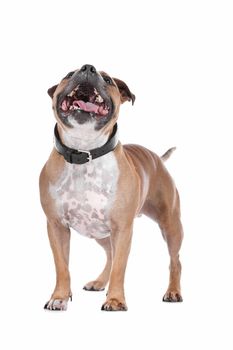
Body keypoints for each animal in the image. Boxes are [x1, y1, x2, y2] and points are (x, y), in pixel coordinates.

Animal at [39, 64, 183, 310]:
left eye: (108, 80)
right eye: (69, 74)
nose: (88, 67)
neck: (84, 151)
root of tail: (158, 158)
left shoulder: (122, 229)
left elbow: (119, 268)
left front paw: (115, 300)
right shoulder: (56, 227)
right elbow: (62, 267)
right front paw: (59, 297)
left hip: (171, 226)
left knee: (175, 261)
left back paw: (173, 292)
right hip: (101, 234)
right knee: (109, 255)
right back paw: (98, 282)